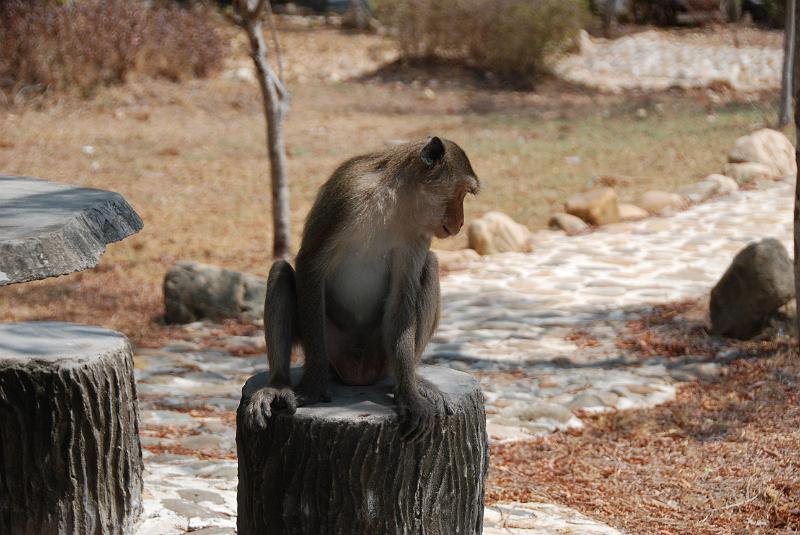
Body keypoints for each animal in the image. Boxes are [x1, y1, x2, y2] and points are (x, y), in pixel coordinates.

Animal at [247, 136, 478, 442]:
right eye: (462, 192)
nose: (461, 222)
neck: (395, 203)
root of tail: (356, 374)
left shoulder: (419, 233)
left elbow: (404, 292)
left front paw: (410, 397)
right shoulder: (346, 196)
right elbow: (309, 264)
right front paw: (314, 387)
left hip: (380, 352)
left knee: (430, 266)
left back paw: (408, 380)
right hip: (332, 345)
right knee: (281, 271)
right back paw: (278, 384)